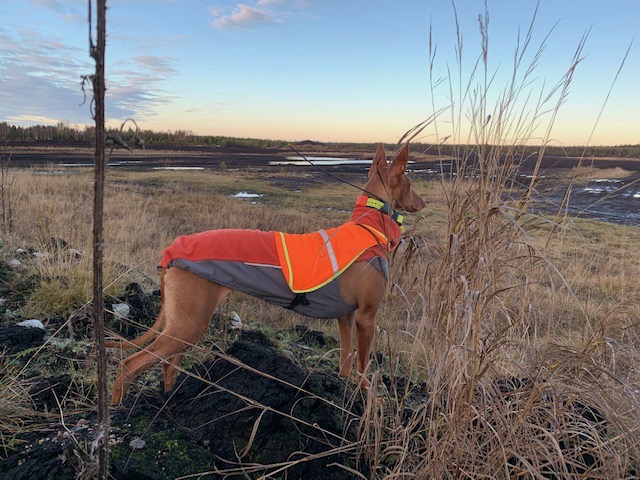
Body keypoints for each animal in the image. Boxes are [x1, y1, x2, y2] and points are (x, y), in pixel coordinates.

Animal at [107, 143, 424, 404]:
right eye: (410, 182)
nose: (424, 203)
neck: (368, 224)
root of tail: (170, 251)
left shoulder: (346, 317)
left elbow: (346, 365)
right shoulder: (366, 318)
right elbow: (362, 367)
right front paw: (370, 396)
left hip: (186, 324)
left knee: (167, 365)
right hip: (188, 324)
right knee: (129, 365)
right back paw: (117, 409)